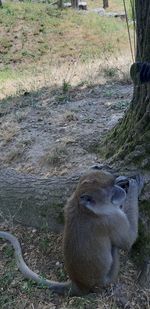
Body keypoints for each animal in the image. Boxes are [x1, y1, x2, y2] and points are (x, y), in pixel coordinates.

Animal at [0, 170, 143, 294]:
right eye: (110, 190)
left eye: (113, 185)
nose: (120, 191)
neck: (85, 209)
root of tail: (78, 284)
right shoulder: (113, 218)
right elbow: (129, 241)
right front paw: (134, 189)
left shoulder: (71, 201)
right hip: (107, 279)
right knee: (115, 248)